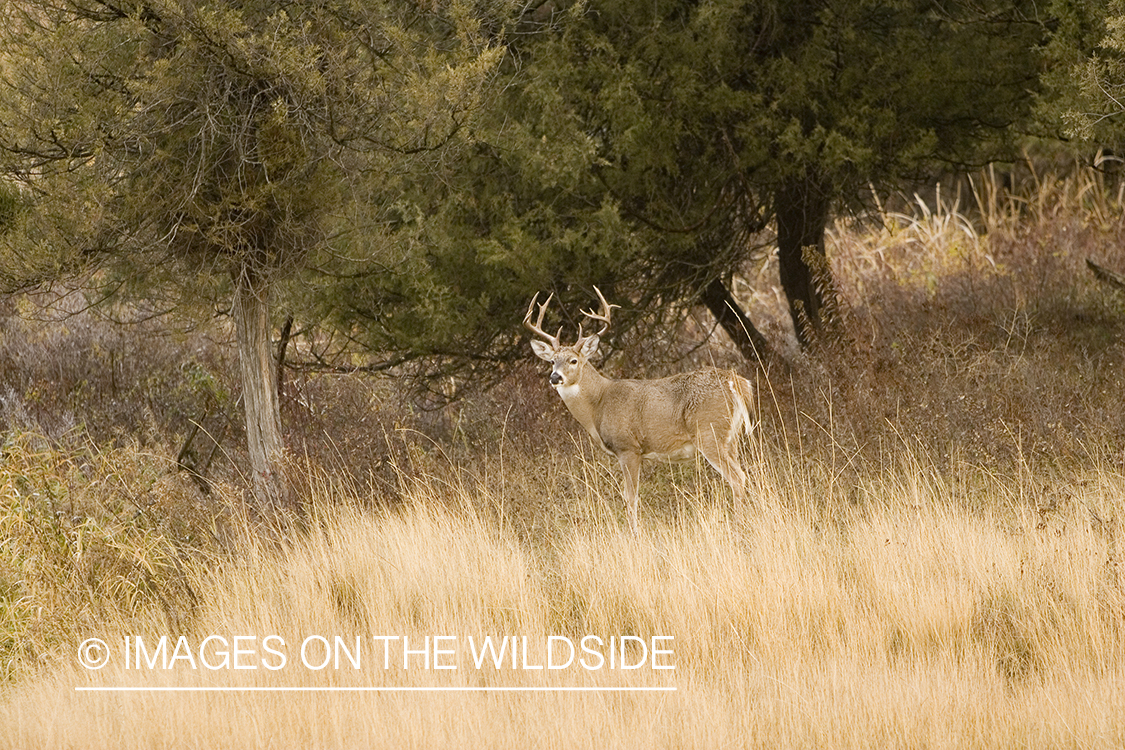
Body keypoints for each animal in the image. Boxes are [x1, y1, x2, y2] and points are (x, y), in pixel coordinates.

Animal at [519, 287, 751, 532]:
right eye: (552, 361)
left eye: (573, 360)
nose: (555, 377)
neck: (599, 403)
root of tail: (736, 382)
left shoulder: (628, 447)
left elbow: (630, 496)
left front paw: (634, 533)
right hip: (731, 438)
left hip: (709, 433)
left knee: (737, 477)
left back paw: (738, 526)